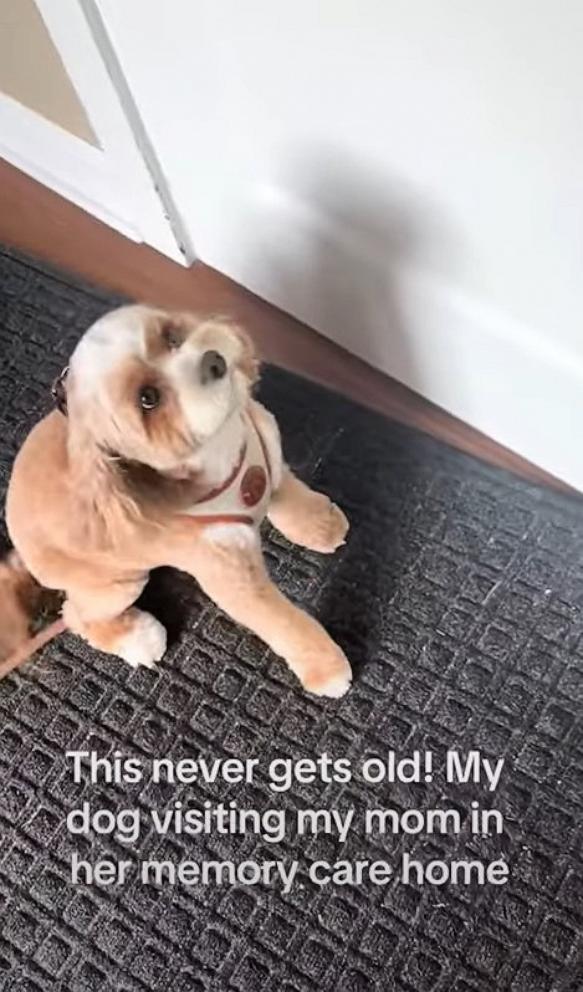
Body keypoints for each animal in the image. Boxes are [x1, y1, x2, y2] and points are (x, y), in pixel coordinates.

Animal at [1, 304, 352, 696]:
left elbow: (291, 497)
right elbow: (283, 622)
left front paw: (321, 523)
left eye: (172, 337)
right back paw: (136, 638)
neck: (225, 448)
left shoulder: (268, 453)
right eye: (148, 398)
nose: (214, 361)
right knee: (77, 617)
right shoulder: (231, 576)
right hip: (117, 582)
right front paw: (326, 667)